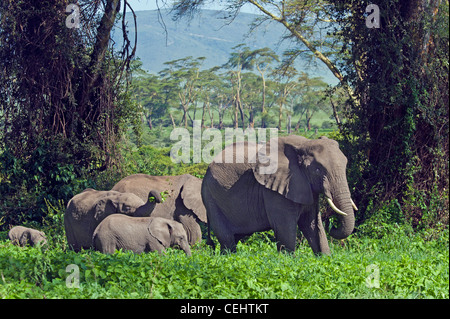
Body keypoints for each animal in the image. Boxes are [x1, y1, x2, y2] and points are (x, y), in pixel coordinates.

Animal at [202, 136, 356, 256]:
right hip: (211, 197)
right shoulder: (275, 191)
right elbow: (285, 228)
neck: (304, 144)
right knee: (227, 240)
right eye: (317, 170)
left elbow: (313, 225)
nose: (333, 227)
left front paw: (325, 258)